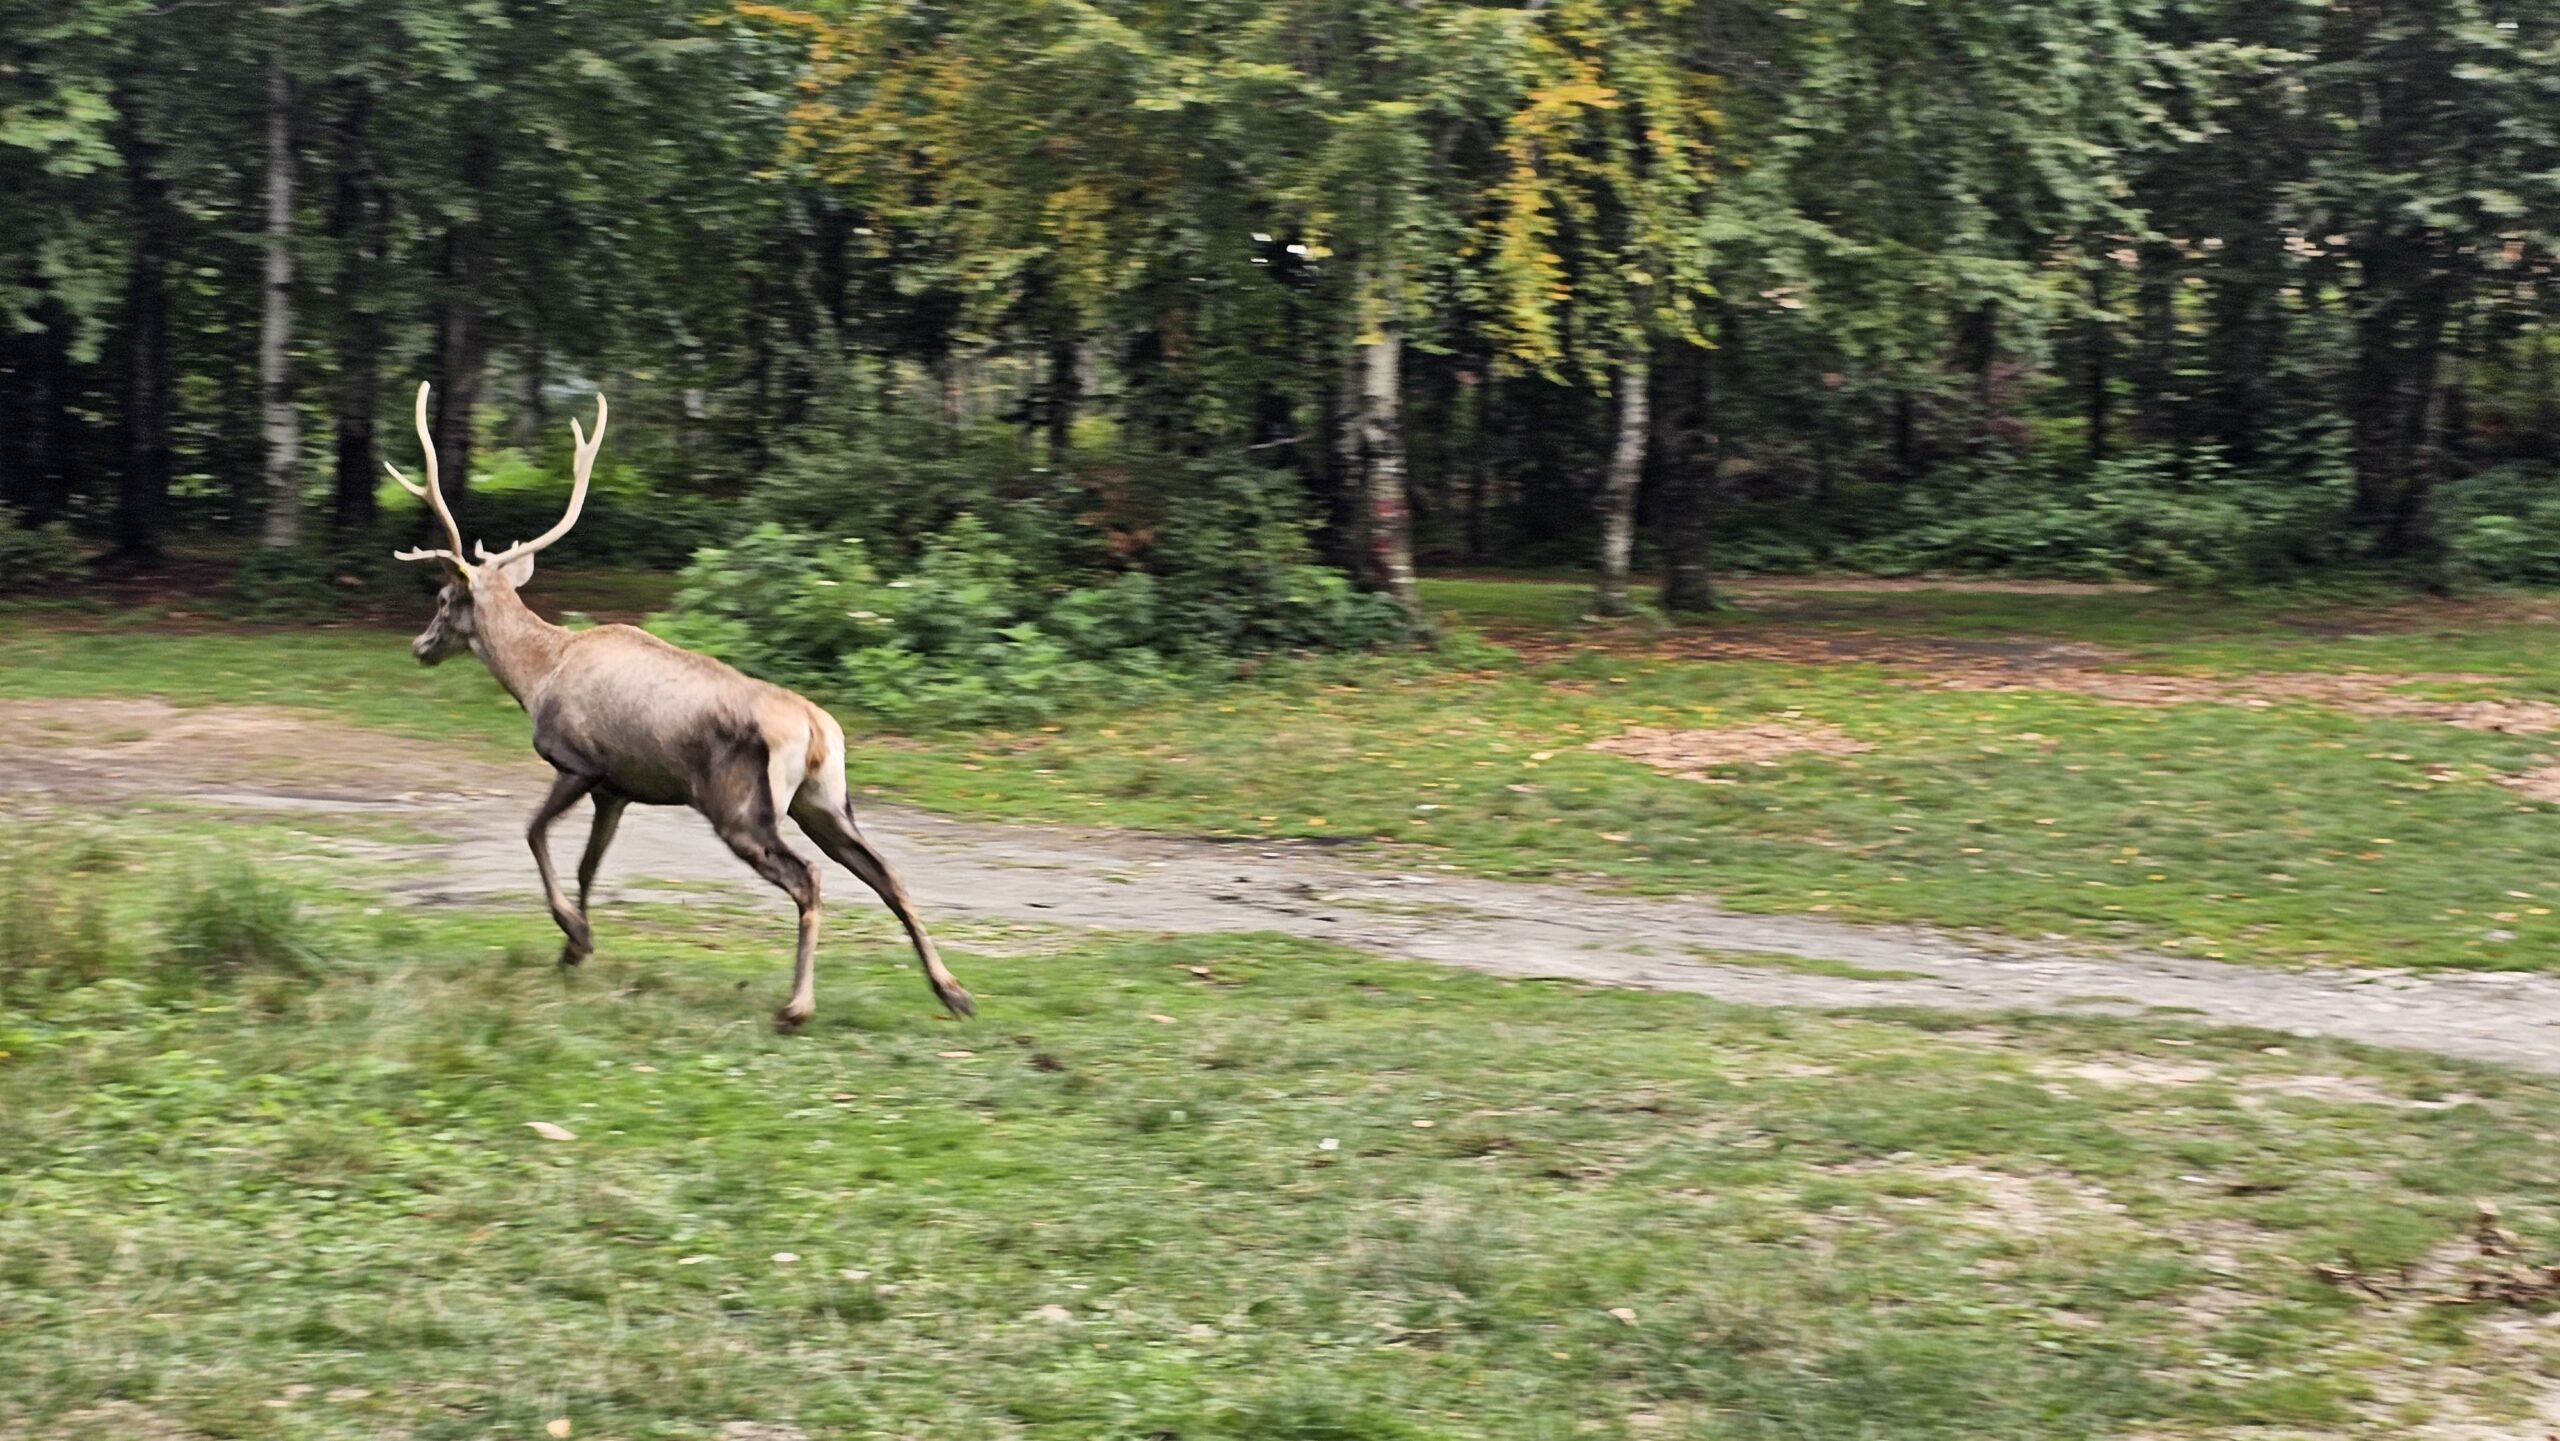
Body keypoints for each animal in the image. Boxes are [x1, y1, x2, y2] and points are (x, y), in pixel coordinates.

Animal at [384, 381, 972, 1039]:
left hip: (742, 807)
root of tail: (818, 731)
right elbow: (589, 865)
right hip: (824, 801)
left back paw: (796, 1007)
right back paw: (953, 992)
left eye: (442, 599)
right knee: (885, 873)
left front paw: (573, 932)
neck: (537, 675)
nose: (420, 647)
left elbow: (534, 832)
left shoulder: (579, 761)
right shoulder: (617, 787)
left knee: (810, 878)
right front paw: (575, 948)